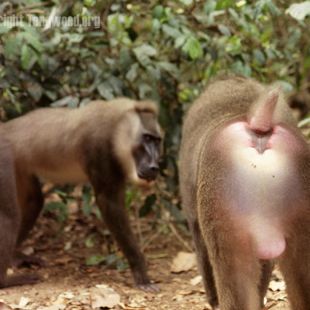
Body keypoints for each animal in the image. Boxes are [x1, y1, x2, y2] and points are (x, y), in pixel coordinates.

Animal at [1, 98, 162, 292]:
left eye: (157, 141)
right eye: (147, 138)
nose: (154, 166)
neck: (117, 128)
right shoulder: (99, 149)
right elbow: (109, 203)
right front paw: (141, 275)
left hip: (19, 165)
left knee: (34, 202)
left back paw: (15, 257)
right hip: (4, 158)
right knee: (9, 217)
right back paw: (5, 281)